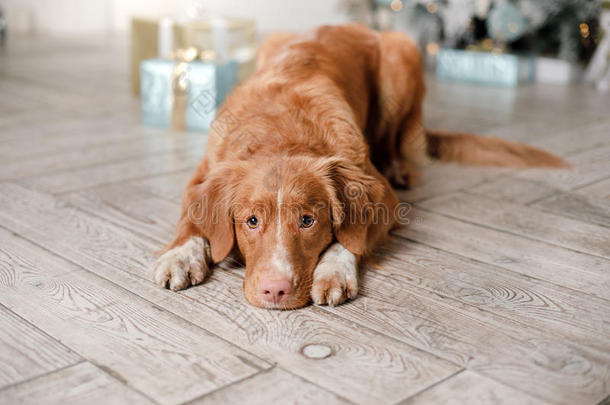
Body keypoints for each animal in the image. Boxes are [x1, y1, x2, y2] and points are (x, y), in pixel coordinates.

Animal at [153, 24, 564, 310]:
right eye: (251, 221)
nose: (275, 290)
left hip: (401, 57)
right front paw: (180, 254)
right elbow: (191, 217)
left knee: (395, 140)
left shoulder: (383, 195)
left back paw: (399, 165)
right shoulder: (202, 174)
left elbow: (353, 237)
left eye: (308, 220)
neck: (280, 131)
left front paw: (333, 270)